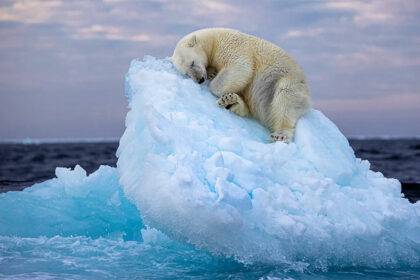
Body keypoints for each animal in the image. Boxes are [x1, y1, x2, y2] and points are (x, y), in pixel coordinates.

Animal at [171, 27, 312, 142]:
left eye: (192, 63)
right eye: (186, 73)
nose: (200, 79)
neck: (213, 39)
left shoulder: (231, 46)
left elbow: (241, 67)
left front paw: (213, 82)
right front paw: (212, 73)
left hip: (288, 80)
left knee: (285, 99)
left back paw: (280, 134)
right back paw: (231, 101)